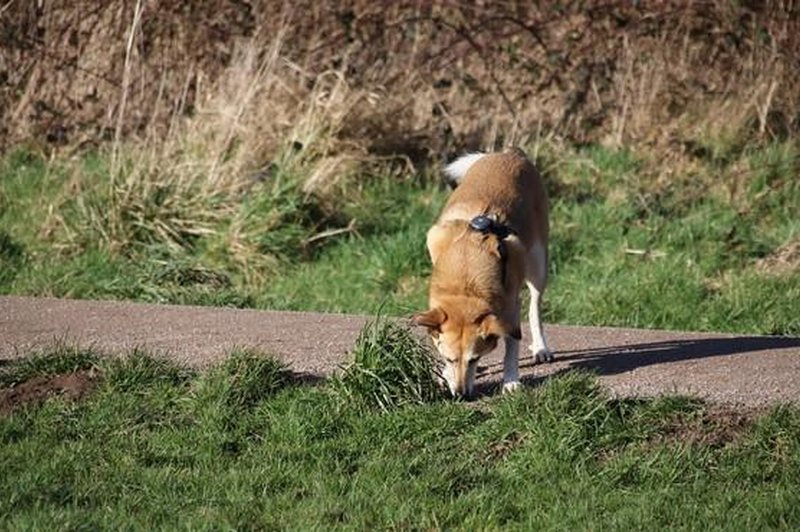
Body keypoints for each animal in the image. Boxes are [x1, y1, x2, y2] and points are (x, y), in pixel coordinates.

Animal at [412, 148, 552, 396]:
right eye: (448, 359)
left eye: (474, 359)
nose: (460, 395)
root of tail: (510, 152)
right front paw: (445, 375)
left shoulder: (510, 307)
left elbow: (512, 344)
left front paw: (511, 380)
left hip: (538, 263)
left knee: (535, 307)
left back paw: (540, 347)